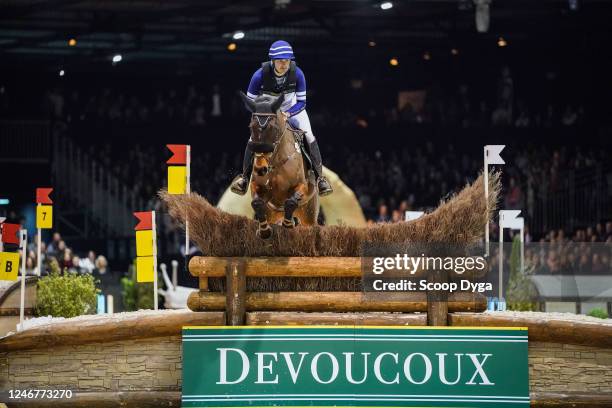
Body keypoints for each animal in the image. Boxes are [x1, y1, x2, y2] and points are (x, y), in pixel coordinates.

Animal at [239, 92, 318, 239]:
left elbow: (291, 201)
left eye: (273, 128)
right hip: (273, 213)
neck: (275, 162)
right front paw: (264, 231)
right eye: (251, 127)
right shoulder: (258, 187)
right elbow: (257, 202)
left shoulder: (301, 185)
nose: (260, 169)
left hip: (309, 214)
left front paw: (288, 224)